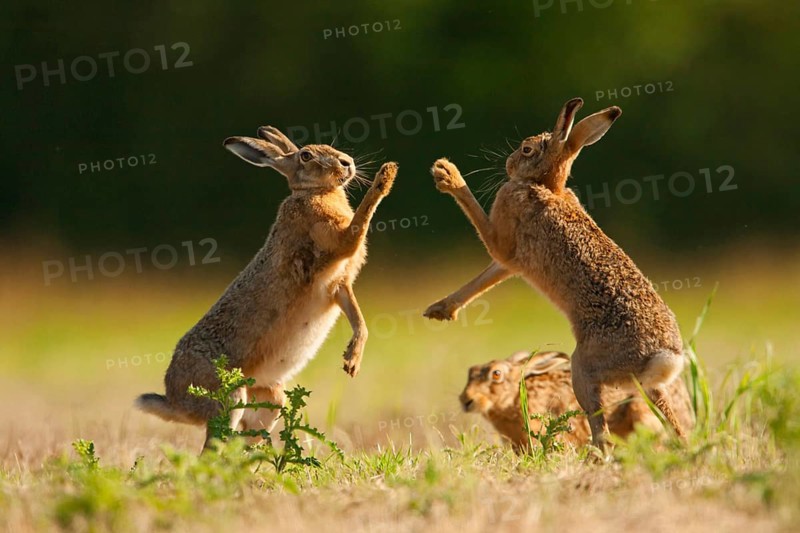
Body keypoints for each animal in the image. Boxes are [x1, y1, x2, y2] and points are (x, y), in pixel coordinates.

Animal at [136, 126, 397, 448]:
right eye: (306, 156)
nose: (347, 163)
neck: (312, 193)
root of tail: (175, 401)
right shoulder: (339, 242)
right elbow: (361, 217)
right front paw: (386, 177)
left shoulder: (339, 287)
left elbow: (359, 320)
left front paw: (352, 361)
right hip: (228, 397)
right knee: (214, 449)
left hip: (270, 399)